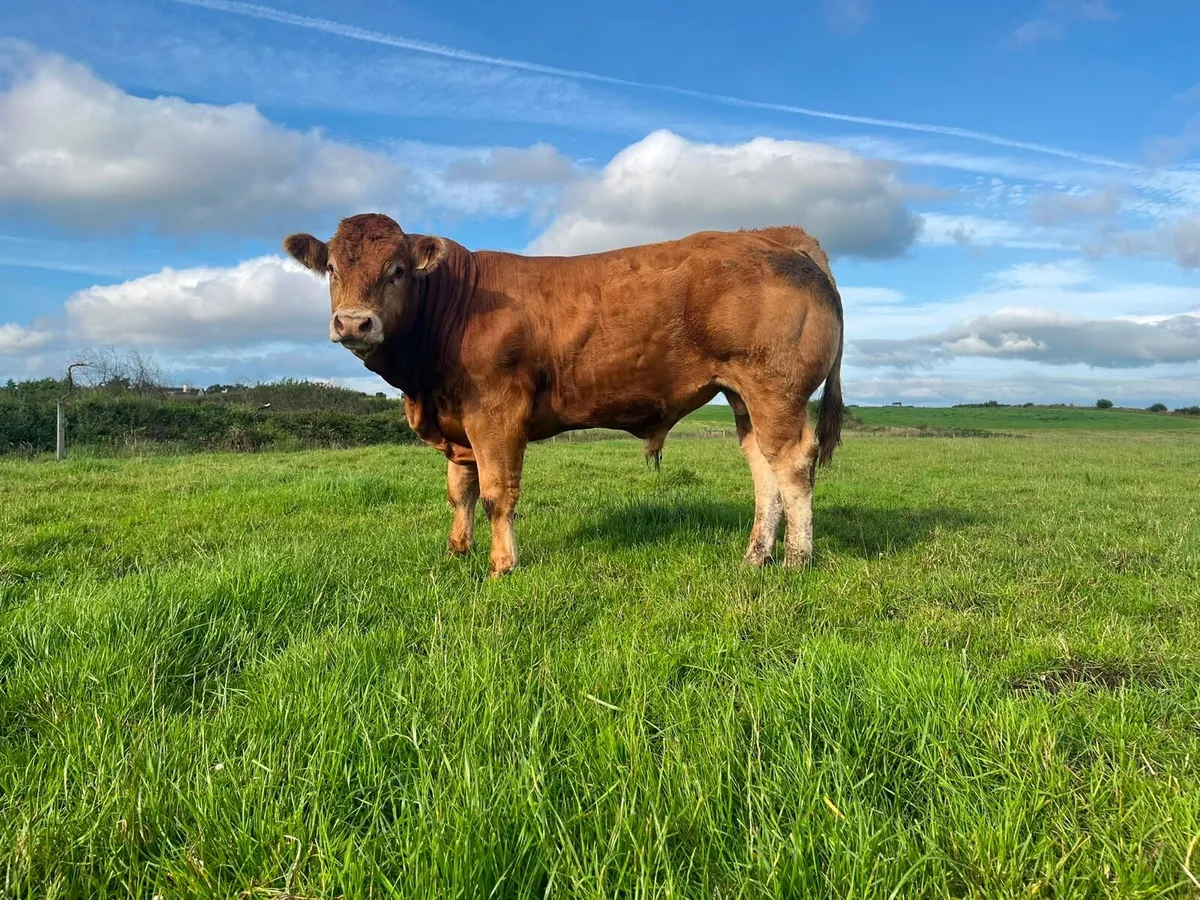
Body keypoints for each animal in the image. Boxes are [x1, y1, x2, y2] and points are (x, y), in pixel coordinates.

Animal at [283, 214, 844, 577]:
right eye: (332, 269)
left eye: (397, 270)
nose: (353, 322)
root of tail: (776, 237)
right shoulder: (458, 424)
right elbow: (460, 492)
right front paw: (456, 553)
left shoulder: (496, 414)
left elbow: (497, 494)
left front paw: (501, 565)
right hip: (744, 396)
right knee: (762, 468)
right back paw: (755, 557)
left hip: (776, 389)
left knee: (793, 463)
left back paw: (795, 561)